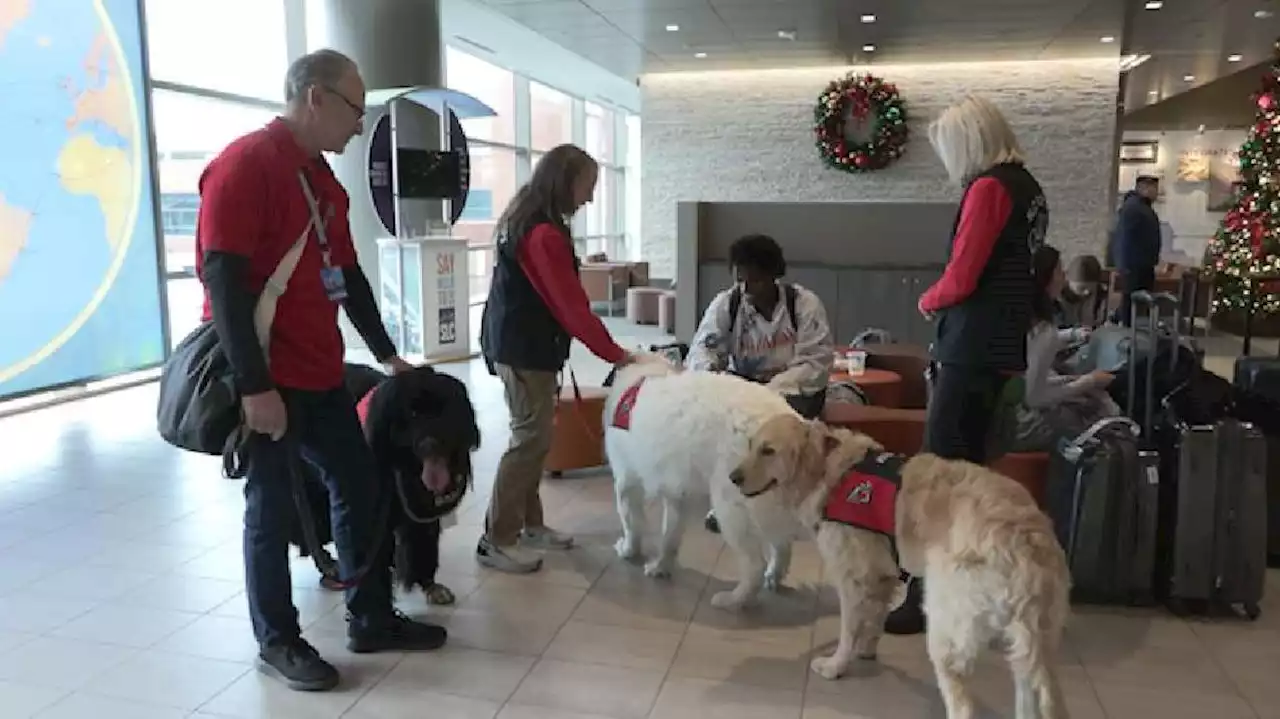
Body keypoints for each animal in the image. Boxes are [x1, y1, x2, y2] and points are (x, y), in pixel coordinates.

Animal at [293, 360, 481, 601]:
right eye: (413, 413)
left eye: (443, 411)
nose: (429, 444)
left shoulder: (421, 511)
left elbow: (424, 544)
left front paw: (429, 584)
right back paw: (329, 567)